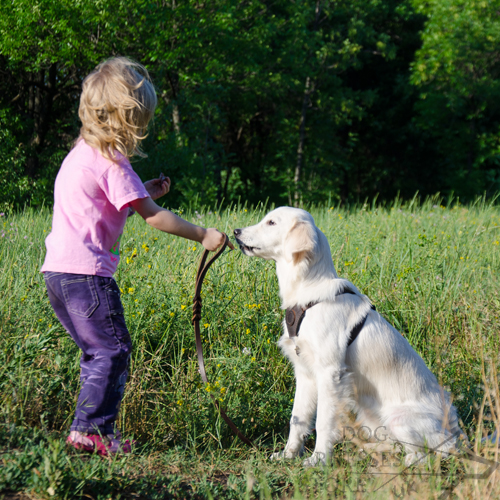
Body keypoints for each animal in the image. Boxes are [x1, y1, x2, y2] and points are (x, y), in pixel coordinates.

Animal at [234, 205, 464, 466]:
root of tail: (456, 433)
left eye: (271, 222)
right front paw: (288, 454)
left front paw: (318, 460)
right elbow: (297, 419)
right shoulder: (304, 373)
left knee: (428, 454)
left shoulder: (330, 374)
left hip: (399, 418)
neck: (308, 290)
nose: (236, 231)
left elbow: (323, 422)